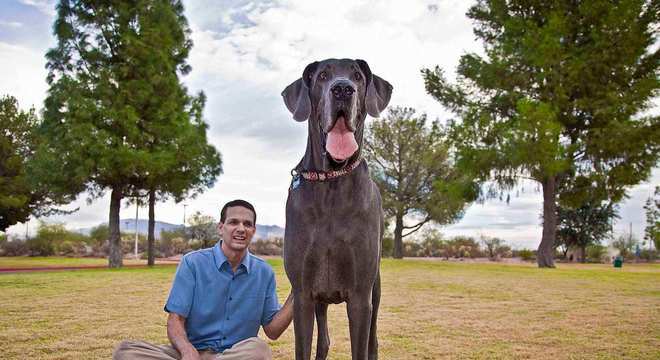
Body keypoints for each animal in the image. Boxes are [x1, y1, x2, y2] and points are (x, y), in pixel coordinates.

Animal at [280, 59, 392, 360]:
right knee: (325, 341)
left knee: (373, 341)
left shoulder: (360, 298)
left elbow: (361, 348)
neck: (331, 181)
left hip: (376, 288)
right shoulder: (303, 295)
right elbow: (305, 347)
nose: (343, 89)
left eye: (358, 76)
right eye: (322, 76)